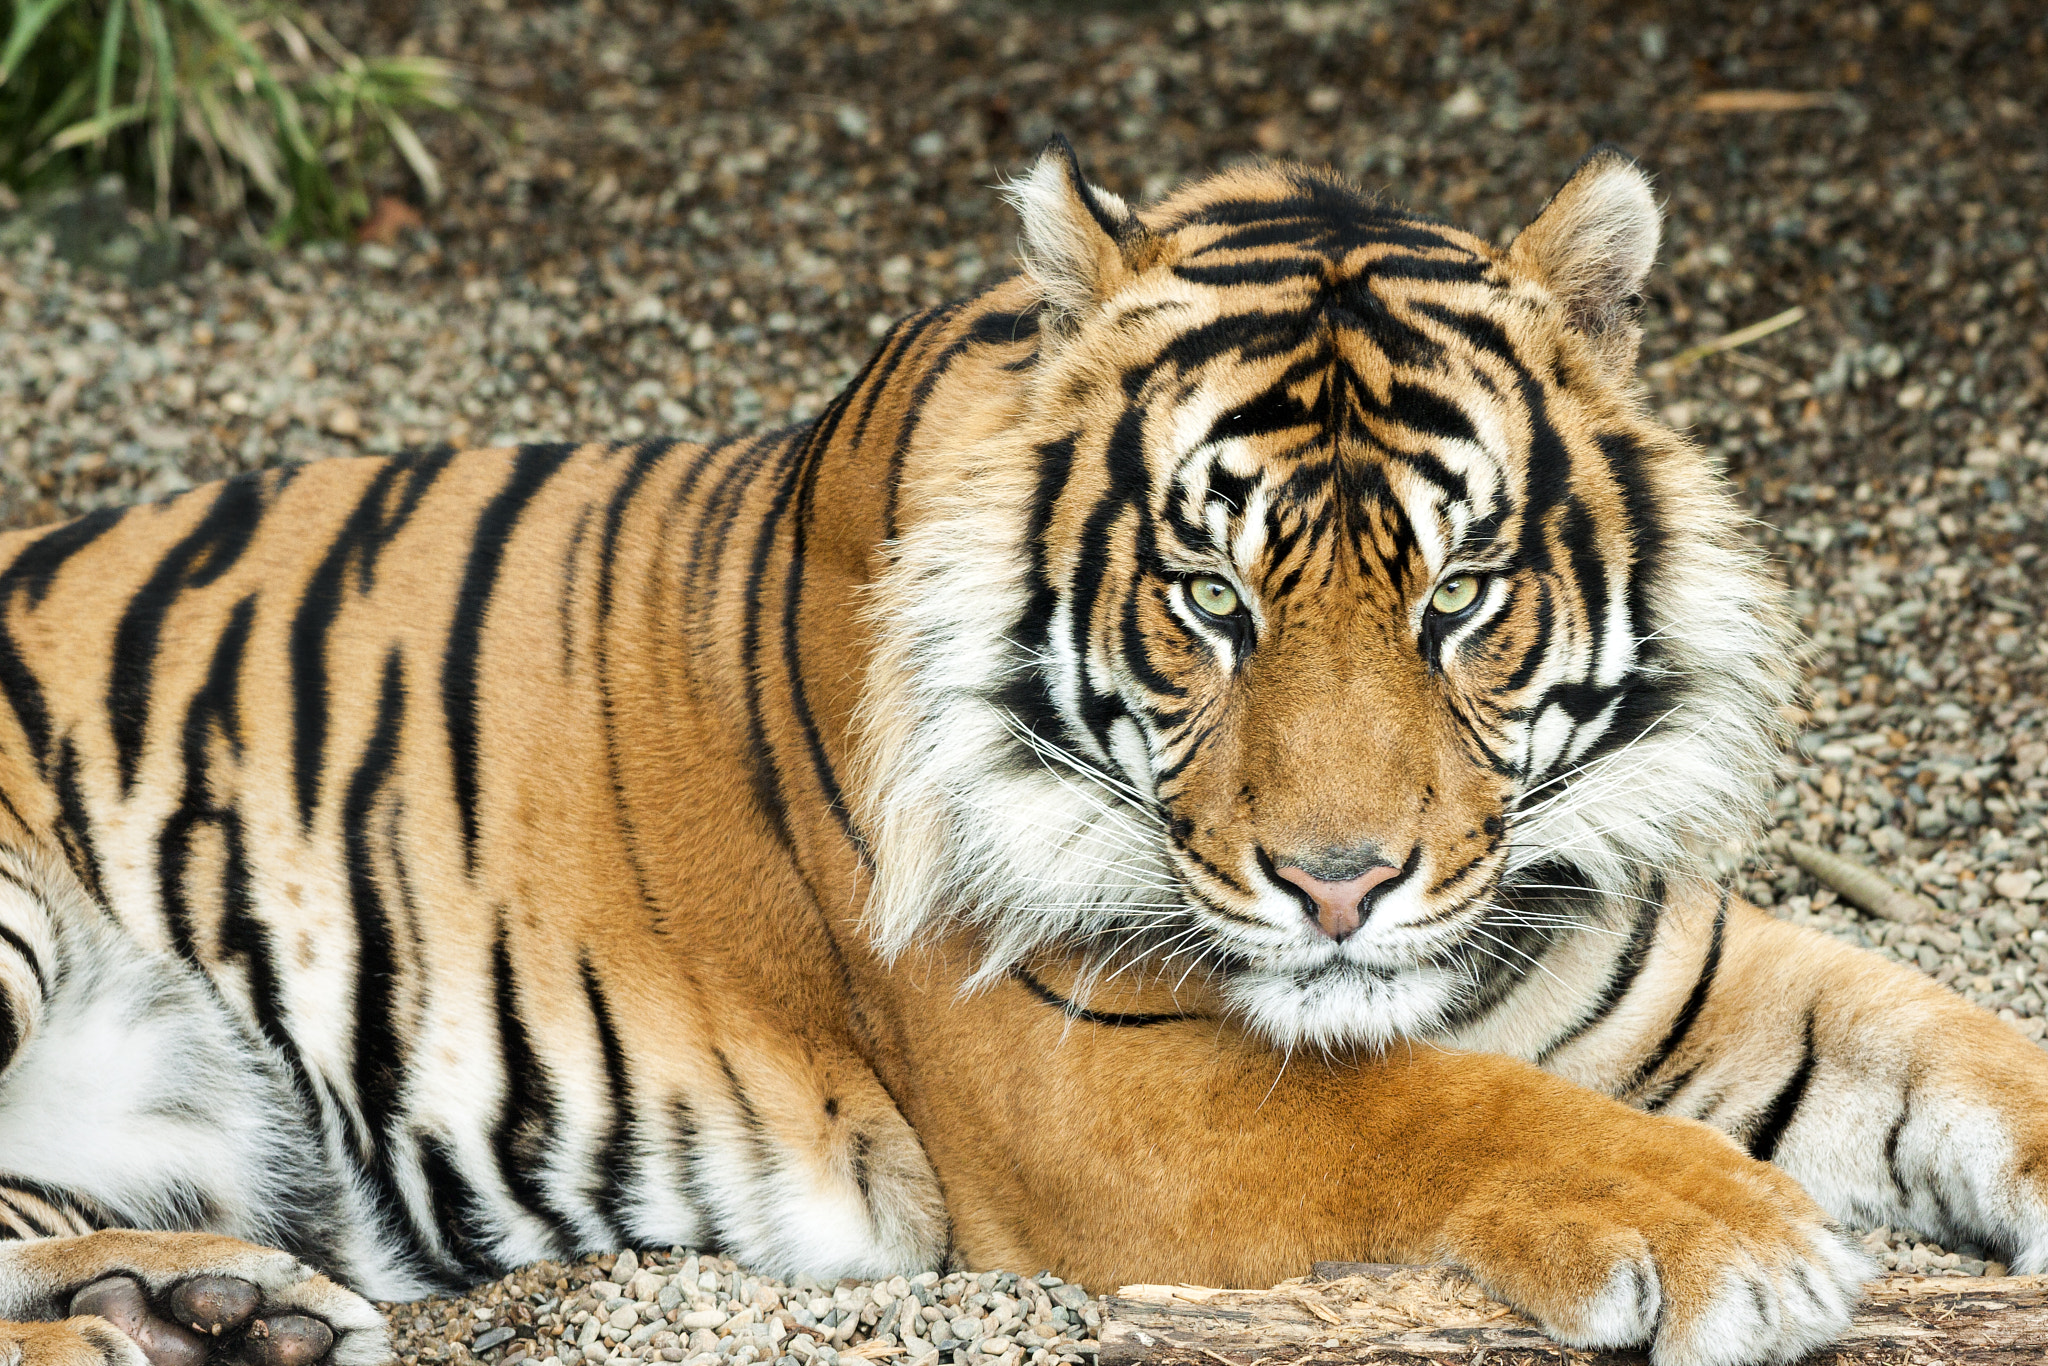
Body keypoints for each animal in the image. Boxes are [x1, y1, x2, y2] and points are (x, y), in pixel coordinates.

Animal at [0, 136, 2043, 1366]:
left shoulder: (1642, 951)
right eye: (1210, 599)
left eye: (1459, 594)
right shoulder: (1091, 1079)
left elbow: (1955, 1041)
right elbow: (1438, 1106)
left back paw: (209, 1303)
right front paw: (1734, 1234)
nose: (1341, 888)